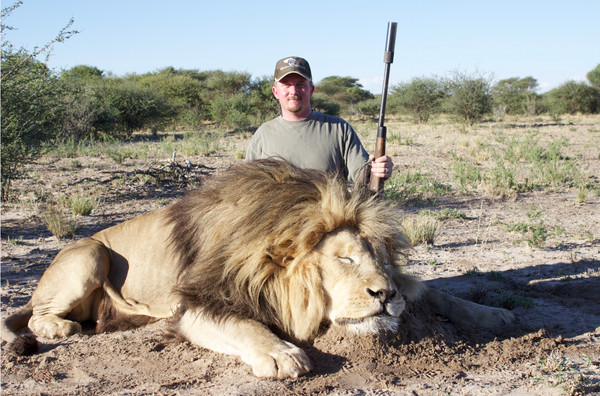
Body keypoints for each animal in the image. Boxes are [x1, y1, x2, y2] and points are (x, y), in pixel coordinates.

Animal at [2, 158, 512, 378]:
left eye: (382, 259)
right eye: (344, 258)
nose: (384, 295)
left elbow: (438, 293)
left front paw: (494, 314)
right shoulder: (196, 306)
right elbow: (244, 324)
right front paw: (282, 354)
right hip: (90, 252)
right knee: (35, 314)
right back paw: (59, 329)